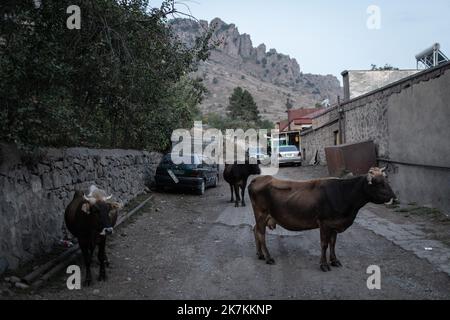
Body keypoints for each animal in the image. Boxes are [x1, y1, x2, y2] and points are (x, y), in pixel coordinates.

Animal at [248, 169, 396, 272]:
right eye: (378, 183)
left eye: (386, 181)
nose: (394, 196)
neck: (343, 193)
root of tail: (258, 179)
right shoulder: (324, 223)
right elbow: (324, 244)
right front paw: (324, 264)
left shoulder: (334, 223)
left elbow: (333, 243)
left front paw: (334, 261)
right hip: (261, 214)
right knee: (261, 234)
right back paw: (268, 257)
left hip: (262, 217)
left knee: (255, 230)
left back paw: (260, 254)